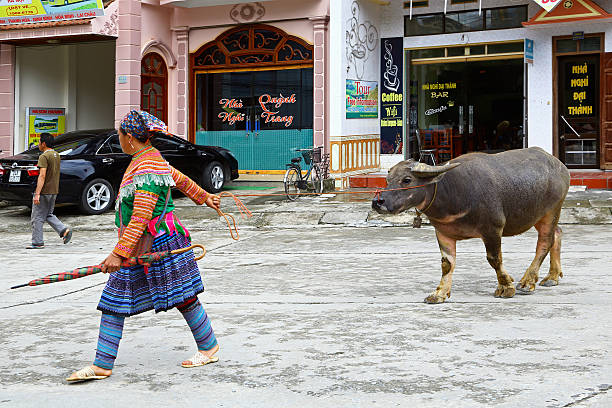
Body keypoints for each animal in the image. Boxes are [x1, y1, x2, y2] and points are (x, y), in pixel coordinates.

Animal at [370, 147, 572, 302]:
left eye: (407, 180)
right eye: (387, 180)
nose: (378, 202)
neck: (453, 194)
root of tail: (560, 166)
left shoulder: (492, 229)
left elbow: (494, 259)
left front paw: (506, 287)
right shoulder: (443, 232)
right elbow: (447, 264)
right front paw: (439, 293)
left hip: (552, 210)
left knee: (545, 242)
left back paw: (527, 282)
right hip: (537, 215)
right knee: (557, 233)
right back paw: (552, 276)